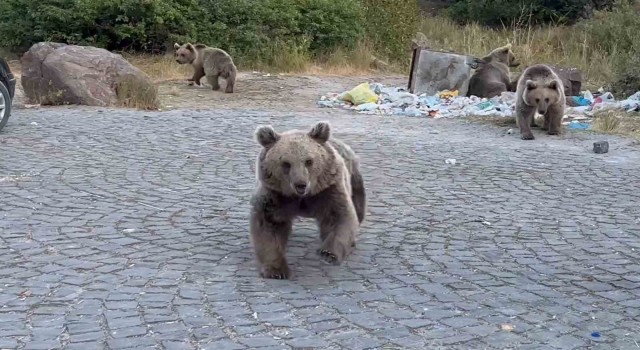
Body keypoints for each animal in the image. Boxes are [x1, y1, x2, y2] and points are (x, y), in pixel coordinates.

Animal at [251, 121, 368, 280]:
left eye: (308, 161)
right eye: (286, 163)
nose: (301, 184)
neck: (302, 197)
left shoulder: (328, 191)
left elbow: (340, 217)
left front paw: (328, 253)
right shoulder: (276, 195)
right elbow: (268, 225)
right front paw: (276, 270)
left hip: (354, 178)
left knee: (358, 207)